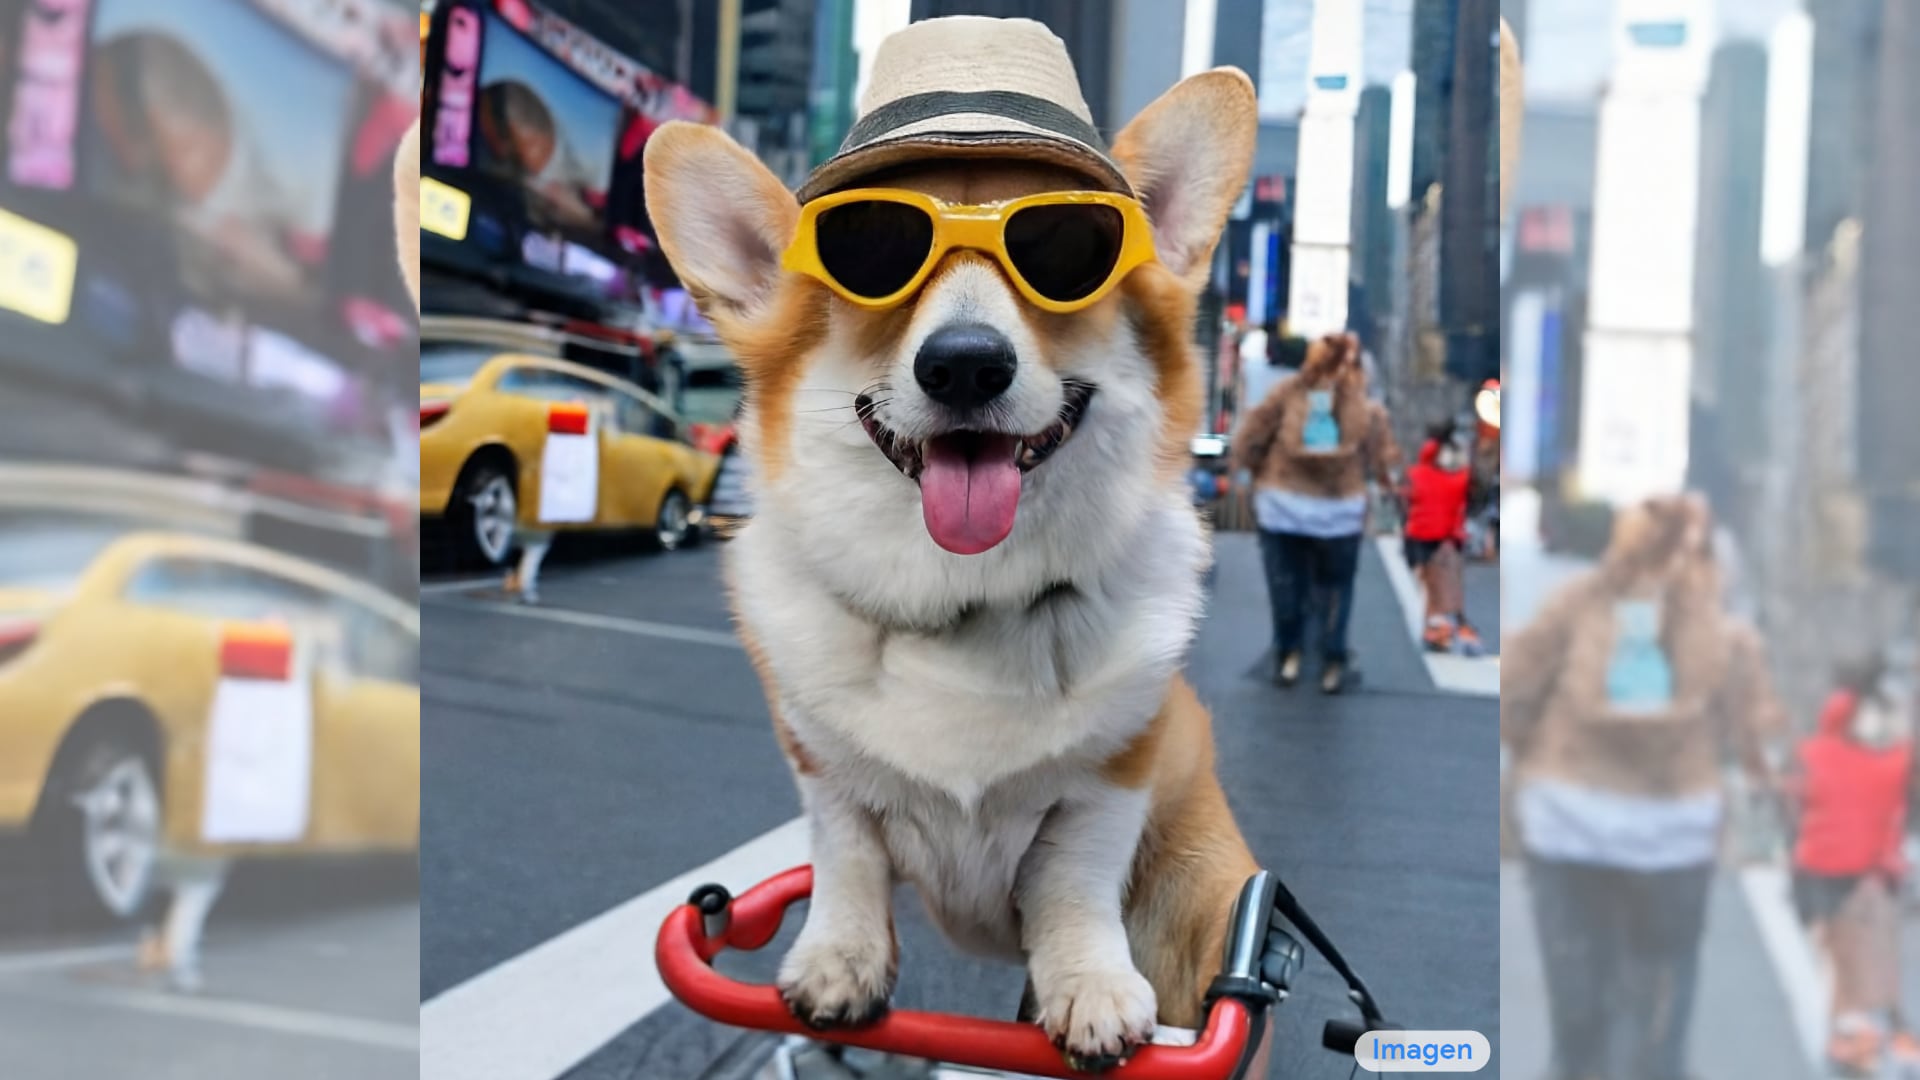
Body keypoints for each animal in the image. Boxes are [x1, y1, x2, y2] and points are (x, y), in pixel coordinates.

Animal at [648, 44, 1259, 1068]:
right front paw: (839, 963)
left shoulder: (1112, 780)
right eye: (870, 258)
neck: (969, 599)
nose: (966, 363)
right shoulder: (826, 775)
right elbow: (846, 857)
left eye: (1068, 252)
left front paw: (1091, 988)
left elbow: (1078, 882)